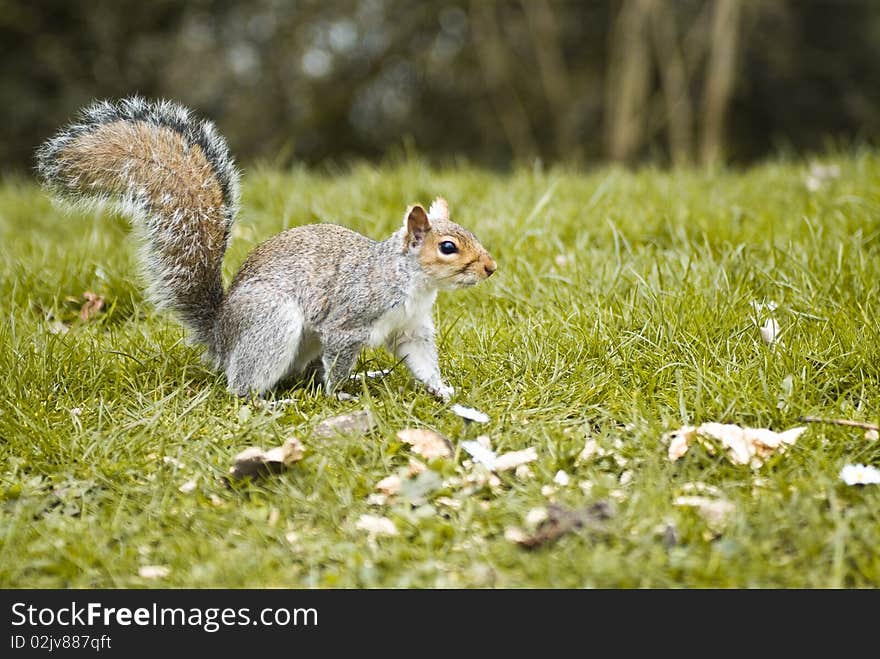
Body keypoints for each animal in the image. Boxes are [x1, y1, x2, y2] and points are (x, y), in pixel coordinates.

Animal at [34, 95, 498, 400]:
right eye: (449, 247)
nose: (490, 268)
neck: (411, 281)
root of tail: (221, 335)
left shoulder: (411, 328)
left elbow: (419, 358)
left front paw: (442, 388)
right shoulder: (350, 320)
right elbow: (340, 356)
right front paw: (339, 394)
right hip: (272, 322)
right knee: (242, 385)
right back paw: (272, 400)